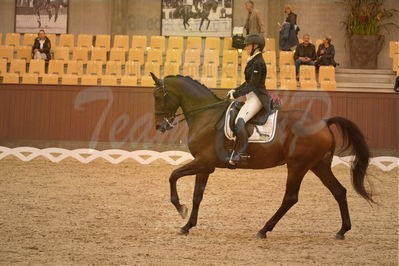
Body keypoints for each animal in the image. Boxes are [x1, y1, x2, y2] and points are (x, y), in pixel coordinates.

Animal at [151, 74, 376, 240]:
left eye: (158, 97)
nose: (160, 126)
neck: (206, 116)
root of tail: (323, 122)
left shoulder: (204, 162)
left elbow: (173, 175)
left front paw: (180, 208)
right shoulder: (205, 165)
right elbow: (197, 195)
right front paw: (187, 225)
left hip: (298, 166)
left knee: (290, 198)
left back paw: (263, 230)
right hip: (318, 165)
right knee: (339, 191)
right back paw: (342, 230)